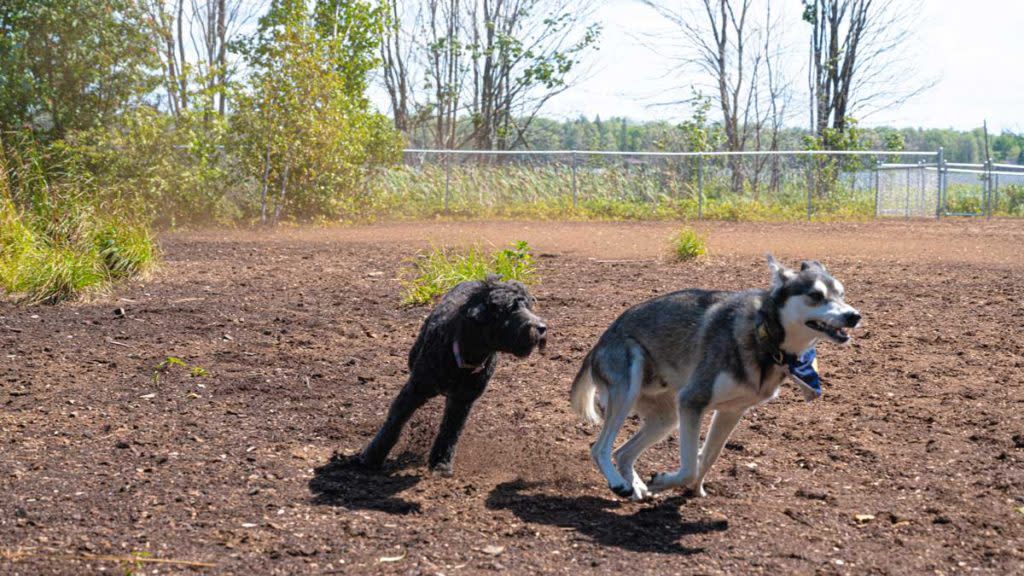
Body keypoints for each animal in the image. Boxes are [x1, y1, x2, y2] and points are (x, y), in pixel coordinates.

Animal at [362, 276, 552, 473]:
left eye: (528, 306)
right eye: (509, 309)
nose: (542, 327)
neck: (464, 357)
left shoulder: (462, 399)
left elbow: (450, 430)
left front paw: (441, 464)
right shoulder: (416, 388)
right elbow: (395, 421)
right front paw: (372, 457)